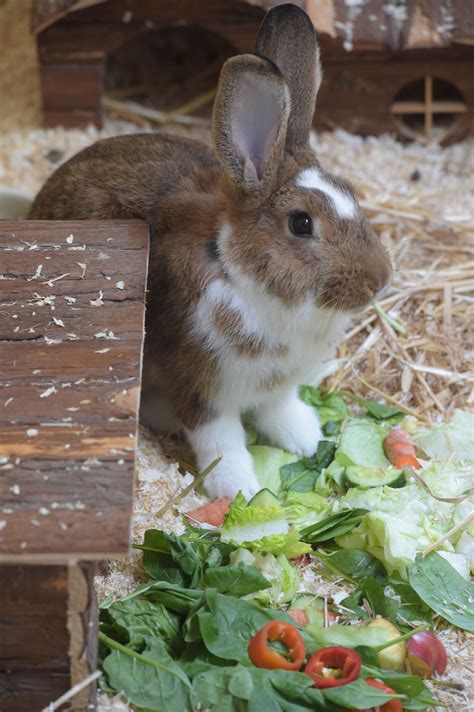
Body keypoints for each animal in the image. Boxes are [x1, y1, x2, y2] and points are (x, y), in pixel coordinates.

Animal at [30, 2, 392, 500]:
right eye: (301, 223)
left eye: (352, 194)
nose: (380, 280)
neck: (240, 273)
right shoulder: (201, 387)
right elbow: (221, 441)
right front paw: (240, 491)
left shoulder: (278, 388)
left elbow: (280, 409)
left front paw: (306, 439)